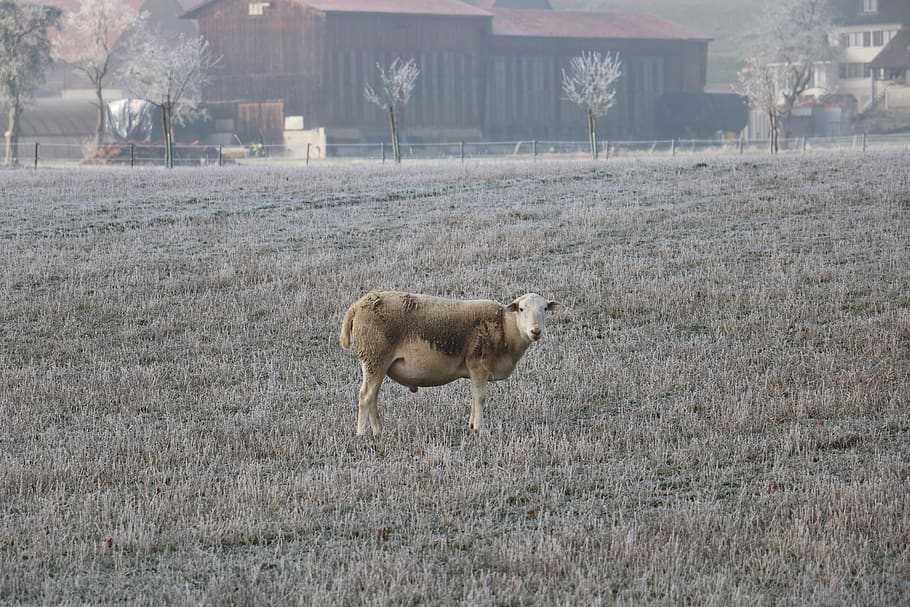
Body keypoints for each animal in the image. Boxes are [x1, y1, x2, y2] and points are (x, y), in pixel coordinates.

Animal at [339, 290, 559, 436]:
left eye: (545, 309)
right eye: (521, 309)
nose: (535, 331)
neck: (505, 328)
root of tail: (358, 305)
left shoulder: (475, 369)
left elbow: (474, 397)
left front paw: (471, 425)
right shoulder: (478, 364)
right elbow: (480, 398)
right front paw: (480, 429)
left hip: (374, 362)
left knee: (373, 396)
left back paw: (378, 432)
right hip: (375, 356)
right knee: (365, 396)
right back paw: (362, 435)